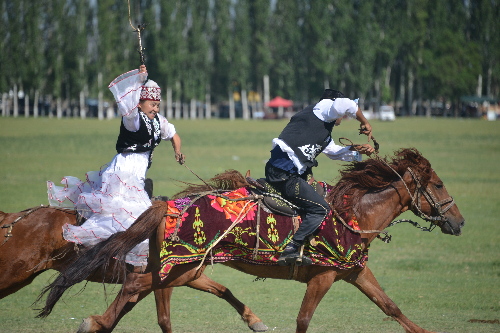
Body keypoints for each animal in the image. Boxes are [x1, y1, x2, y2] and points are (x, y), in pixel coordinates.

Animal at [0, 208, 268, 330]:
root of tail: (10, 218)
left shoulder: (186, 277)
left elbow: (222, 290)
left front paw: (254, 320)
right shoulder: (164, 280)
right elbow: (164, 319)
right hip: (14, 274)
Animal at [38, 148, 464, 332]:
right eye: (439, 184)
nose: (459, 222)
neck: (353, 212)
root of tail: (167, 204)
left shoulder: (353, 272)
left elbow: (390, 306)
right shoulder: (323, 276)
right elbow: (304, 318)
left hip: (182, 266)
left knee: (142, 288)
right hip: (184, 263)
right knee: (136, 285)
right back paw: (94, 323)